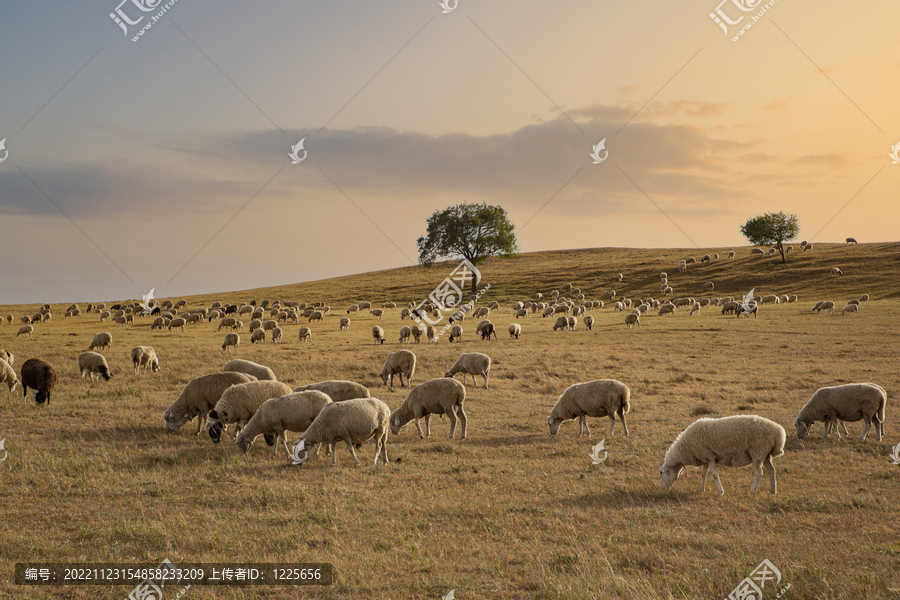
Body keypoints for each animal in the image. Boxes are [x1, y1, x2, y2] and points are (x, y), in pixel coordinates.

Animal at [656, 414, 784, 494]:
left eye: (661, 473)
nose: (662, 489)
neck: (686, 449)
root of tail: (779, 433)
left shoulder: (710, 457)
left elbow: (714, 475)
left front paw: (720, 491)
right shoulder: (705, 457)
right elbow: (704, 474)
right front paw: (701, 489)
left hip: (757, 451)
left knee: (759, 473)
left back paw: (752, 491)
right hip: (765, 454)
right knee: (771, 471)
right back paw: (773, 491)